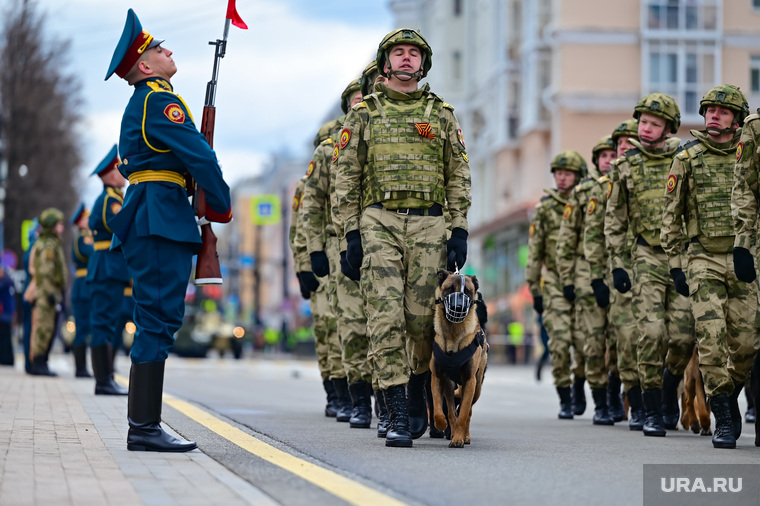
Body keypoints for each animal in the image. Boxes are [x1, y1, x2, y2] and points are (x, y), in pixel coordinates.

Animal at [428, 270, 486, 448]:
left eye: (467, 291)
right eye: (449, 289)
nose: (458, 307)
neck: (453, 332)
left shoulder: (469, 381)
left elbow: (464, 413)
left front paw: (459, 438)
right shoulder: (437, 377)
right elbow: (439, 408)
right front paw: (441, 424)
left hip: (477, 388)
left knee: (468, 412)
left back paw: (464, 436)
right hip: (449, 386)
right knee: (451, 410)